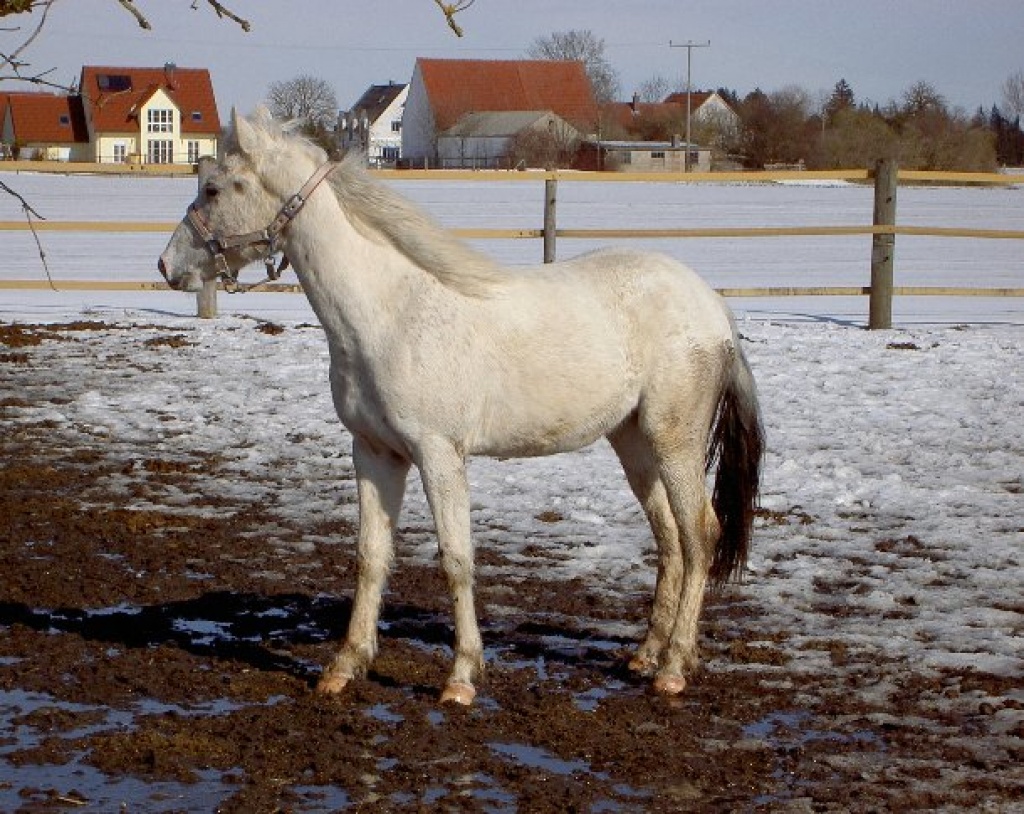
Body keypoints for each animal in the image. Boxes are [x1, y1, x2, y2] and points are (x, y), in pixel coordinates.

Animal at [158, 109, 764, 706]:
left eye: (214, 188)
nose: (167, 266)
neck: (389, 312)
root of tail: (714, 307)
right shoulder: (374, 453)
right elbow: (370, 556)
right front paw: (345, 666)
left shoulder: (439, 454)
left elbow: (456, 559)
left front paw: (461, 677)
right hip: (634, 442)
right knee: (669, 540)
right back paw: (644, 656)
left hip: (675, 440)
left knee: (699, 535)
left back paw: (674, 667)